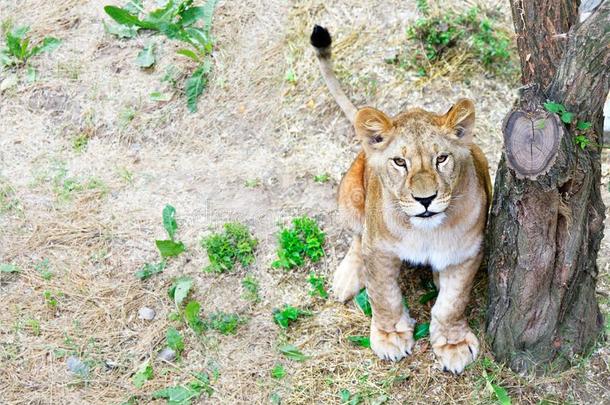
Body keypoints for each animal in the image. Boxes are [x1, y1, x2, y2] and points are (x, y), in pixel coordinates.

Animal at [308, 25, 490, 372]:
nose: (426, 199)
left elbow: (452, 303)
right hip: (350, 195)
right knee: (357, 237)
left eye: (441, 158)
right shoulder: (379, 250)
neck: (425, 232)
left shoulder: (465, 252)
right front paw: (390, 336)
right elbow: (384, 295)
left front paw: (453, 344)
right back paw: (346, 279)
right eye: (400, 162)